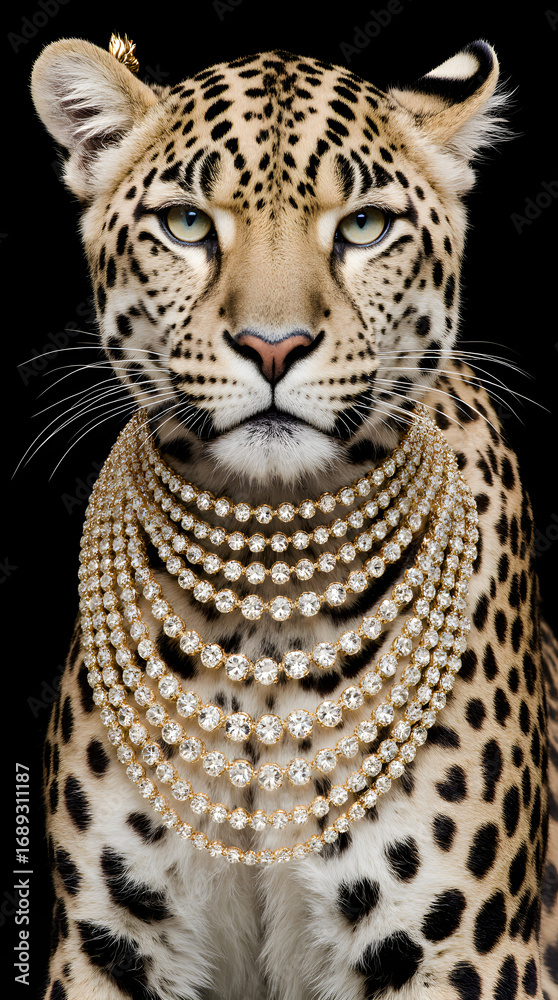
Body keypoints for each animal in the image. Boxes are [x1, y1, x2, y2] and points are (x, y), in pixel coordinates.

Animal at [30, 34, 558, 1000]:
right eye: (188, 224)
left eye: (364, 227)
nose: (273, 347)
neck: (267, 579)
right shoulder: (108, 944)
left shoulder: (461, 953)